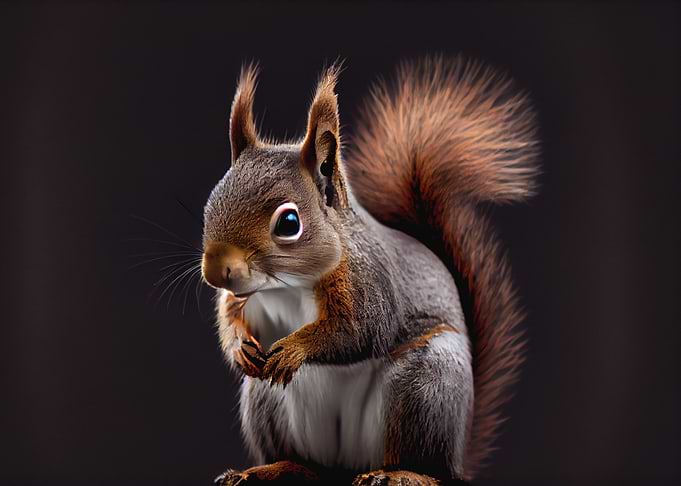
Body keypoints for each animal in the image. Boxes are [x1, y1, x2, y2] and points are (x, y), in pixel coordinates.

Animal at [201, 57, 538, 485]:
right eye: (210, 205)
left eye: (289, 223)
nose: (216, 273)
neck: (285, 286)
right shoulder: (244, 300)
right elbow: (234, 319)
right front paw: (238, 346)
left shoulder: (367, 281)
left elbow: (357, 331)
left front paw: (294, 349)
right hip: (265, 399)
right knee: (306, 464)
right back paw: (268, 469)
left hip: (425, 388)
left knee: (423, 464)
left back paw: (397, 474)